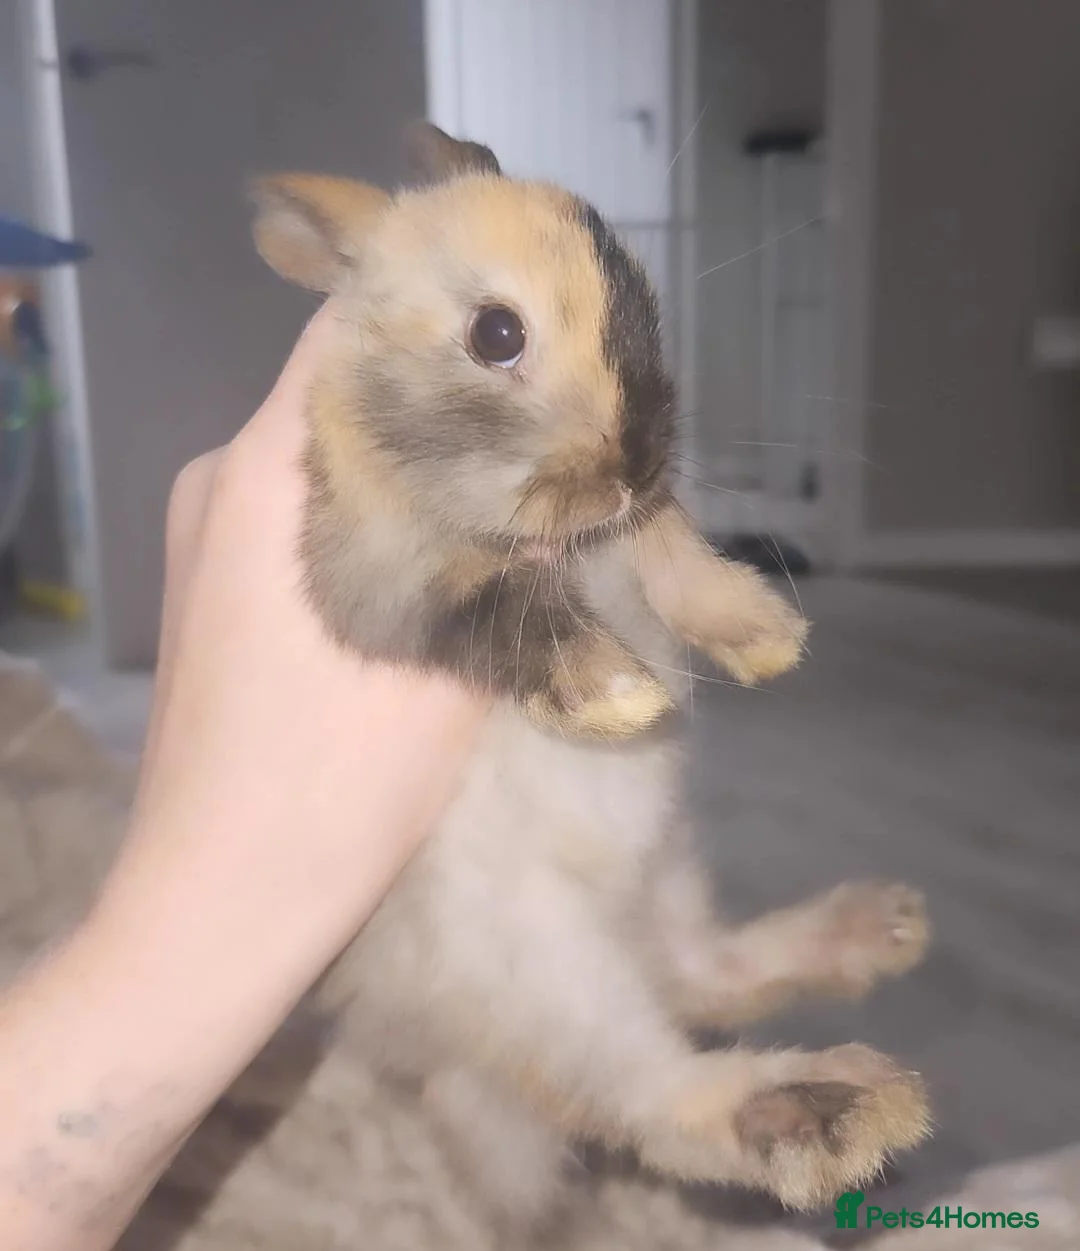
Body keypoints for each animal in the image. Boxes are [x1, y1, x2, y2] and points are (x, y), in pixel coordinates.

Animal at [249, 122, 931, 1235]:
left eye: (641, 290)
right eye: (495, 334)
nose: (639, 458)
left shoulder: (631, 530)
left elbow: (669, 547)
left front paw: (762, 634)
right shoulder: (380, 582)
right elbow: (498, 605)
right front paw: (618, 697)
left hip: (665, 876)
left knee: (704, 979)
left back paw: (882, 932)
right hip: (547, 978)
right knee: (657, 1093)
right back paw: (837, 1108)